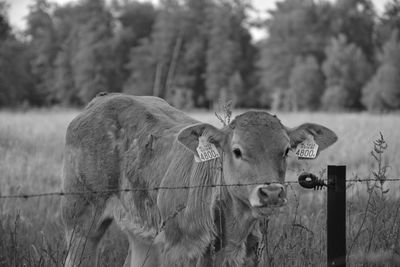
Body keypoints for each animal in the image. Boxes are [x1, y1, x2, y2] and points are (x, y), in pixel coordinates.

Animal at [61, 93, 336, 266]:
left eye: (286, 150)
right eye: (237, 151)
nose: (271, 193)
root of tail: (104, 99)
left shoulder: (252, 252)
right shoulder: (178, 251)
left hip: (142, 236)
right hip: (81, 222)